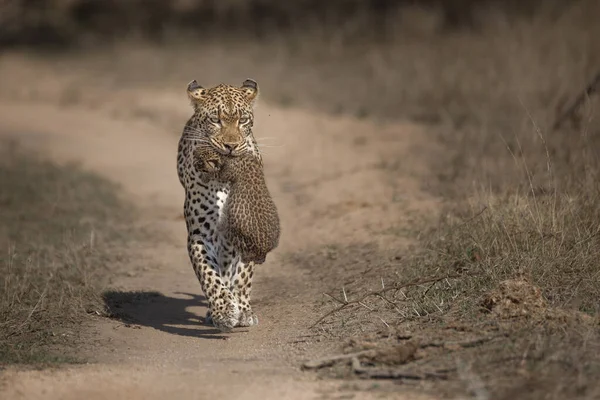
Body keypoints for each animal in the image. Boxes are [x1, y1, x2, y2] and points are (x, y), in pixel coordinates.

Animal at [176, 78, 268, 332]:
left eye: (242, 120)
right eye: (215, 120)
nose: (231, 146)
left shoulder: (247, 228)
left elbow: (243, 276)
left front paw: (243, 310)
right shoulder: (200, 235)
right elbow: (209, 275)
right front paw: (224, 310)